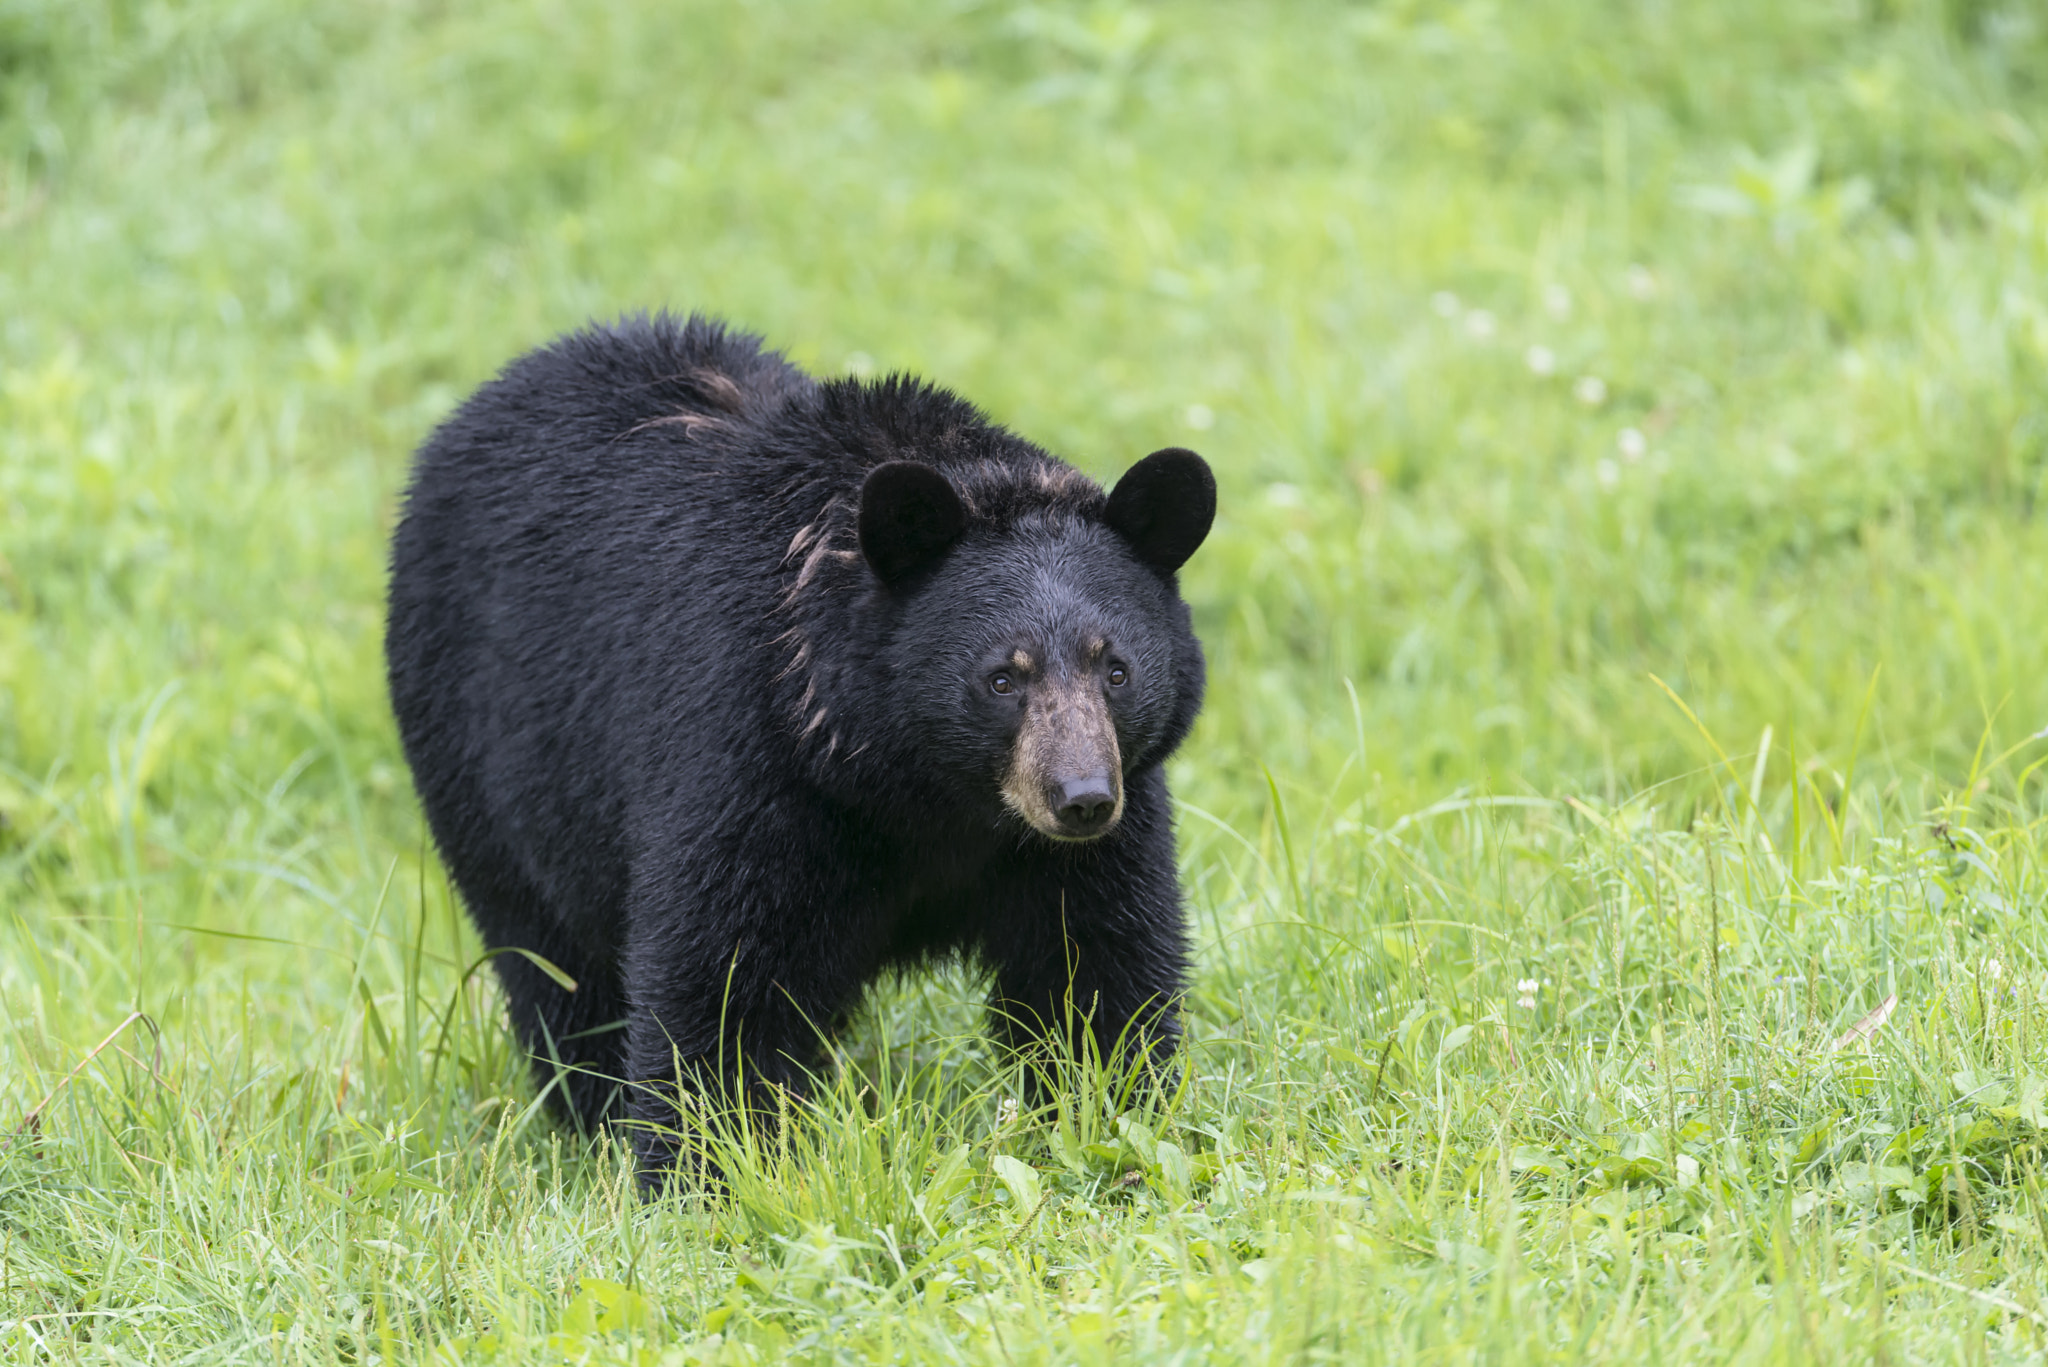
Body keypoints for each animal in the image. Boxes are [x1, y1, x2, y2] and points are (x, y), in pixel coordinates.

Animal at [382, 315, 1204, 1180]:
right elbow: (725, 975)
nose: (1081, 799)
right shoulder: (751, 759)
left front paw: (1111, 1114)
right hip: (484, 761)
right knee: (553, 961)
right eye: (1002, 677)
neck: (917, 789)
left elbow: (1092, 963)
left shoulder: (1092, 829)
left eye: (1116, 668)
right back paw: (591, 1115)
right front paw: (704, 1170)